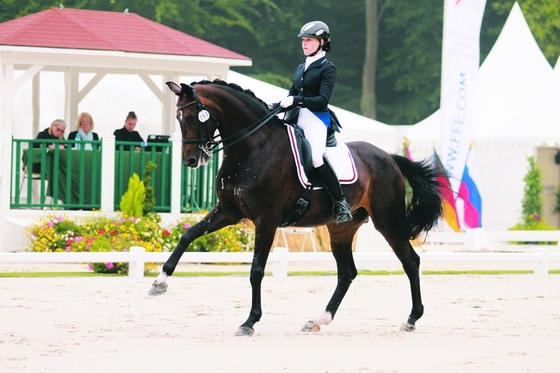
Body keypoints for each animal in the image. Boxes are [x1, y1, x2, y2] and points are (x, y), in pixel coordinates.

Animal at [150, 77, 446, 334]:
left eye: (191, 118)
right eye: (178, 119)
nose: (190, 161)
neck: (252, 149)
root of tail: (389, 157)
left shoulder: (266, 220)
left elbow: (256, 269)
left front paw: (249, 322)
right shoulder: (228, 212)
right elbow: (188, 235)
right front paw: (159, 283)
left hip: (387, 220)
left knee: (410, 261)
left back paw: (411, 319)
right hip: (341, 228)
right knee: (347, 272)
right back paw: (318, 320)